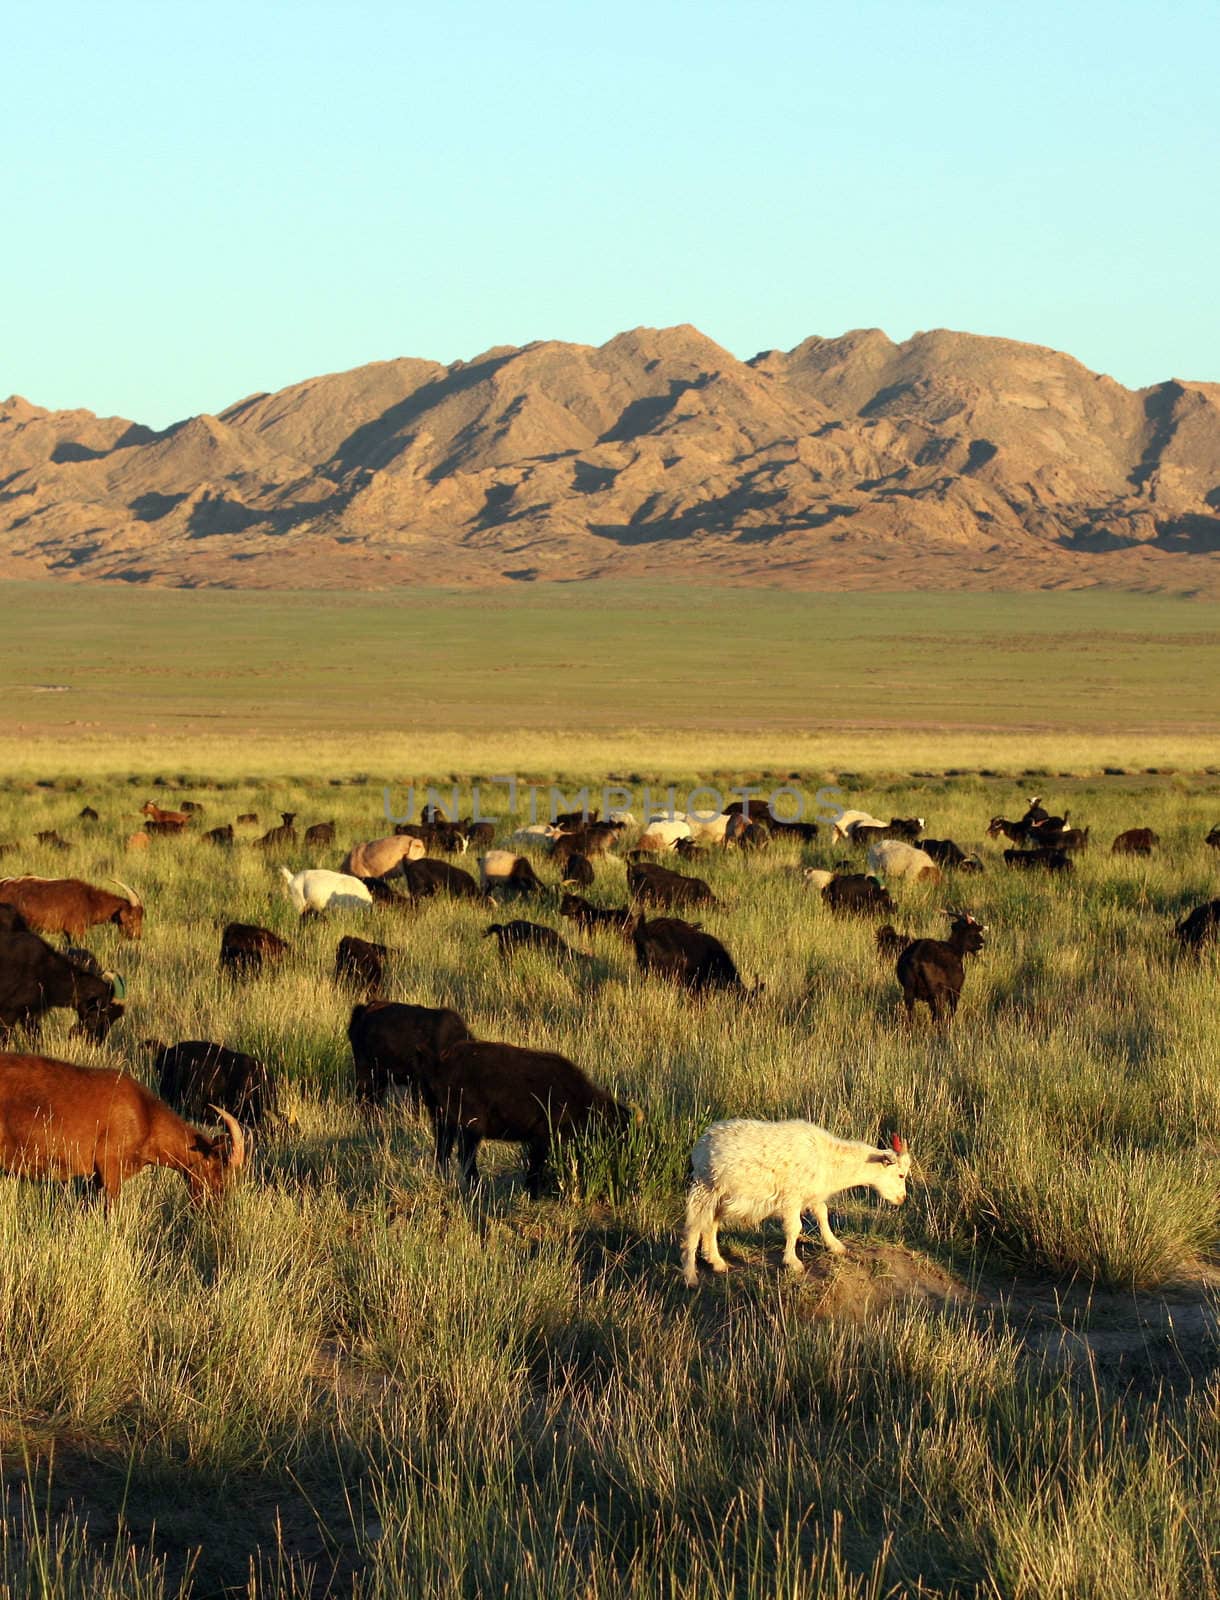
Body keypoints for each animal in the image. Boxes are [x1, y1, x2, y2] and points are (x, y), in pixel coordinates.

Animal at [678, 1126, 909, 1286]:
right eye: (900, 1174)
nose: (902, 1199)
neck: (828, 1159)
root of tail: (701, 1143)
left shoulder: (813, 1195)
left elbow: (823, 1215)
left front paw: (835, 1246)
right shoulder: (792, 1198)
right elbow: (794, 1228)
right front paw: (793, 1262)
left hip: (721, 1198)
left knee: (710, 1226)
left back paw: (717, 1262)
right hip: (704, 1189)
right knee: (694, 1228)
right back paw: (690, 1276)